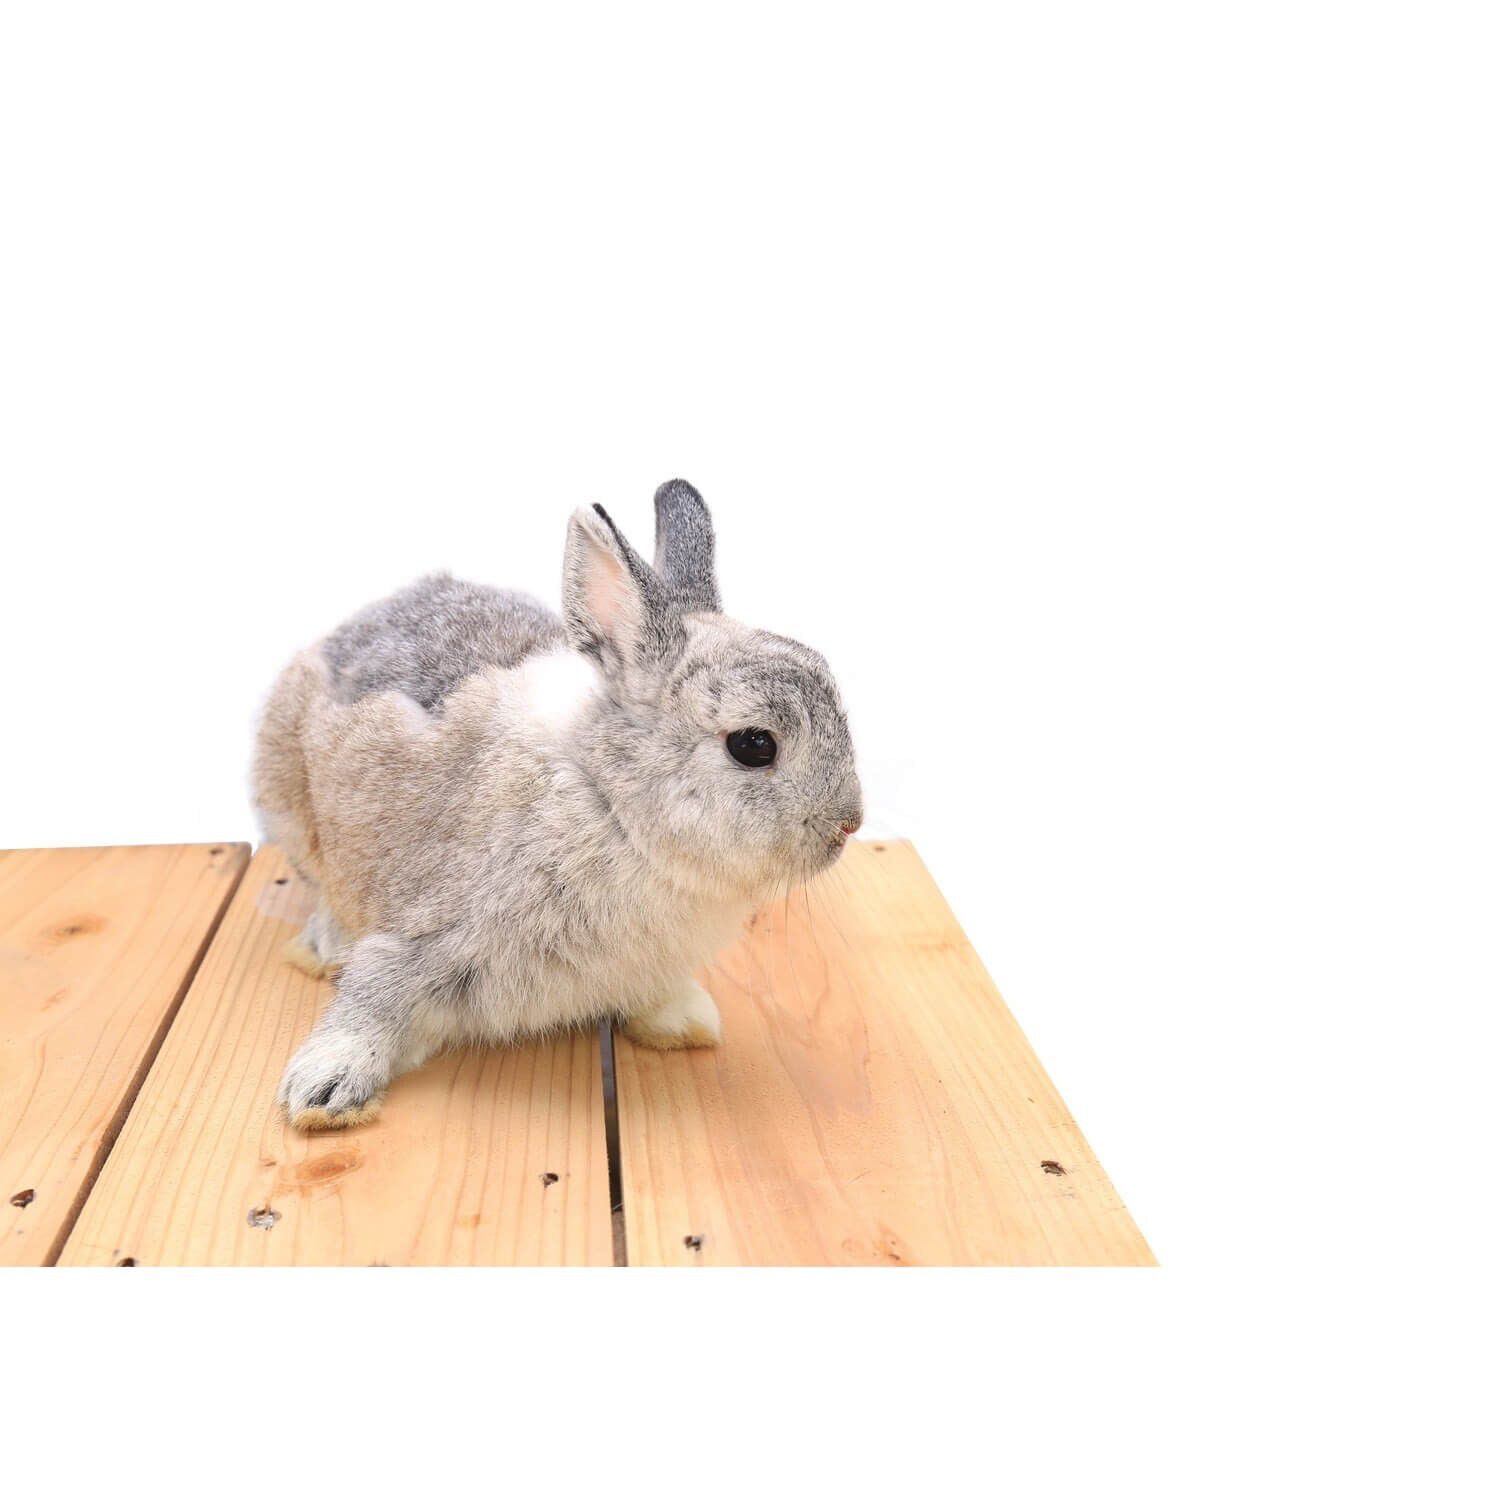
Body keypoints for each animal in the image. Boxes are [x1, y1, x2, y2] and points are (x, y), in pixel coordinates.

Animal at [253, 479, 863, 1130]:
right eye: (753, 745)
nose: (850, 823)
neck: (610, 804)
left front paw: (685, 1021)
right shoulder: (433, 928)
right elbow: (375, 993)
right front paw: (323, 1090)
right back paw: (324, 944)